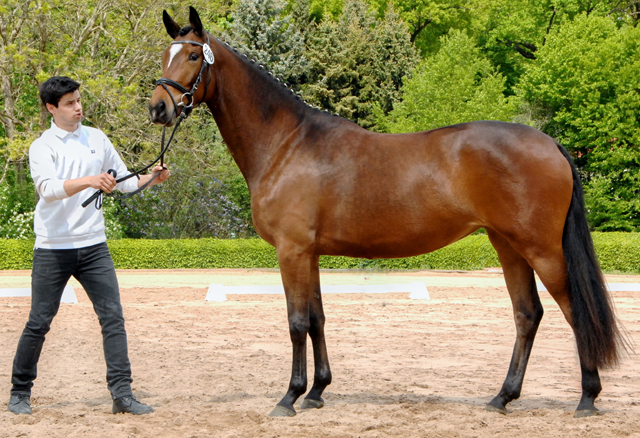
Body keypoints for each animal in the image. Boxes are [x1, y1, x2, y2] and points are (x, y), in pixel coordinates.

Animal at [149, 6, 624, 418]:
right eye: (165, 54)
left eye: (193, 55)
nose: (158, 107)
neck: (287, 143)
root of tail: (551, 144)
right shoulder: (310, 254)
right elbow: (318, 318)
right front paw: (317, 391)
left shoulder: (292, 251)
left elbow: (297, 322)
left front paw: (290, 397)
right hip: (508, 245)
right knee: (528, 314)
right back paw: (502, 397)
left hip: (541, 249)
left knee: (574, 310)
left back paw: (587, 398)